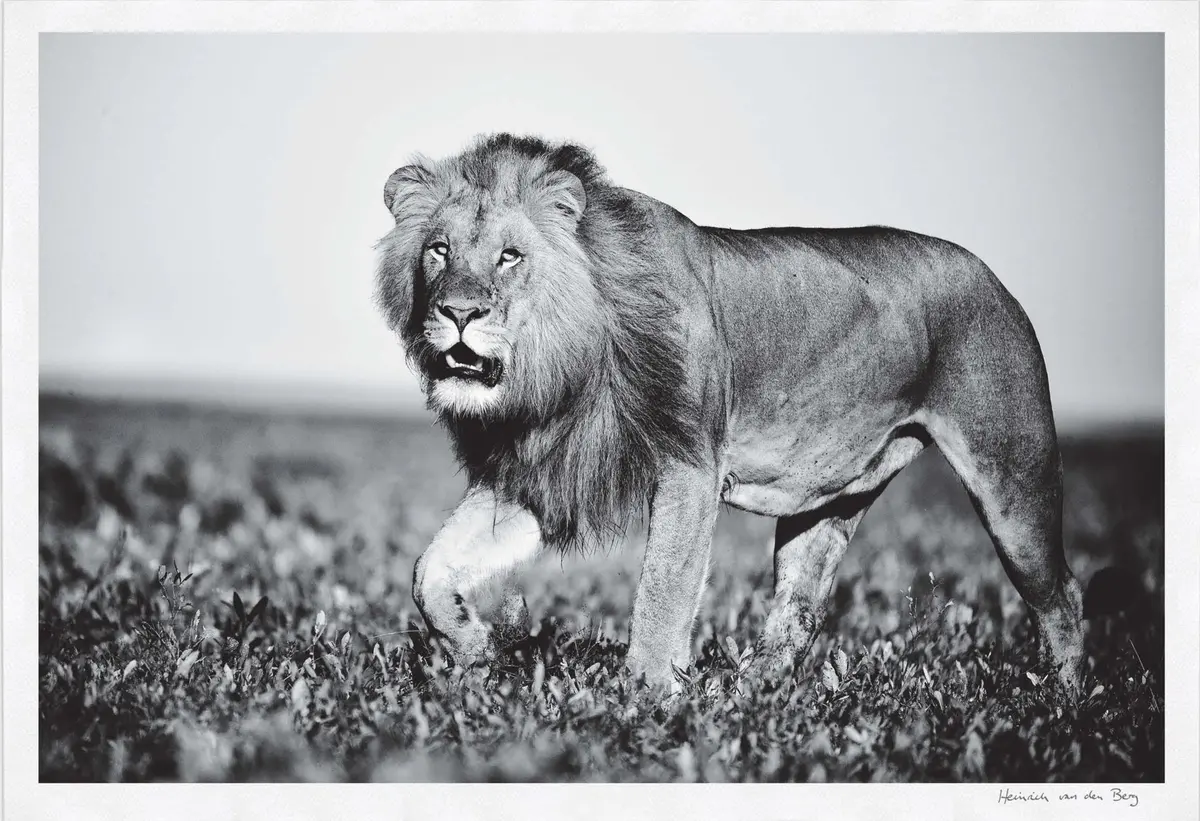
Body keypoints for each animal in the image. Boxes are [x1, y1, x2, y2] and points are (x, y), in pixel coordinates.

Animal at [374, 133, 1086, 696]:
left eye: (510, 256)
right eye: (438, 250)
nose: (458, 313)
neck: (563, 365)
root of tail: (996, 279)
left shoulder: (689, 465)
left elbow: (663, 591)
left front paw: (646, 700)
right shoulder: (543, 471)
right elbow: (428, 570)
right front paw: (478, 651)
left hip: (1014, 483)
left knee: (1064, 596)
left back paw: (1069, 706)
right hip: (825, 506)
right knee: (799, 611)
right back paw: (751, 695)